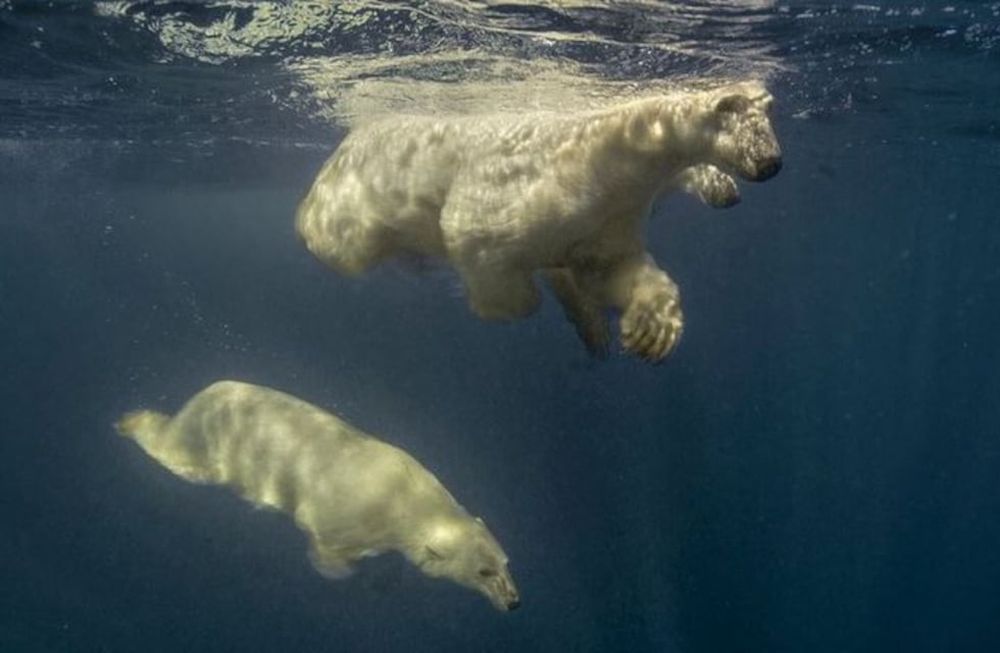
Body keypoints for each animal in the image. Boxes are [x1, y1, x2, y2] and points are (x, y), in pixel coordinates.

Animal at [116, 380, 520, 612]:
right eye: (483, 571)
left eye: (505, 562)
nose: (514, 601)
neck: (407, 497)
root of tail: (196, 401)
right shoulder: (348, 517)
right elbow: (326, 544)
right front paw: (341, 569)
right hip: (204, 447)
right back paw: (132, 421)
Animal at [296, 80, 781, 361]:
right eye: (754, 129)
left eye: (769, 125)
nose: (772, 163)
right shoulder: (528, 185)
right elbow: (477, 234)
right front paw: (511, 302)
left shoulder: (611, 215)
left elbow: (607, 268)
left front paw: (649, 330)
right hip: (353, 200)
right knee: (343, 241)